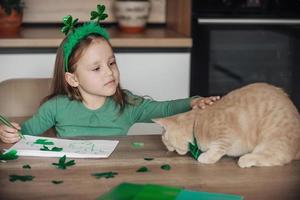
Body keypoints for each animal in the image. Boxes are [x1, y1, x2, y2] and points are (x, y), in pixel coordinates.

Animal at [154, 83, 300, 167]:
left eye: (165, 141)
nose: (169, 149)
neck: (197, 123)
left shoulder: (225, 134)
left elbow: (218, 148)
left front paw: (206, 157)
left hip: (272, 138)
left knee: (277, 157)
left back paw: (246, 159)